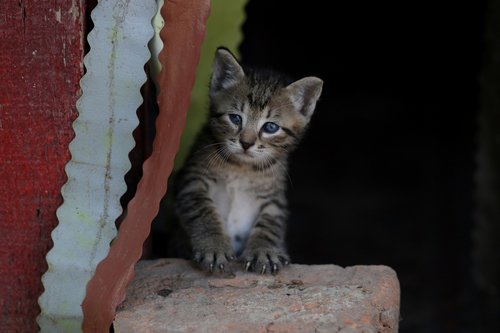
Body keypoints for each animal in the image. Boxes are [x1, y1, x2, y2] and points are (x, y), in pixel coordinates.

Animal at [175, 47, 324, 272]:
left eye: (270, 127)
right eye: (235, 118)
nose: (246, 143)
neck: (241, 168)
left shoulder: (274, 198)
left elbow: (270, 225)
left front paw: (264, 251)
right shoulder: (192, 182)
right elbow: (203, 211)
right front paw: (214, 246)